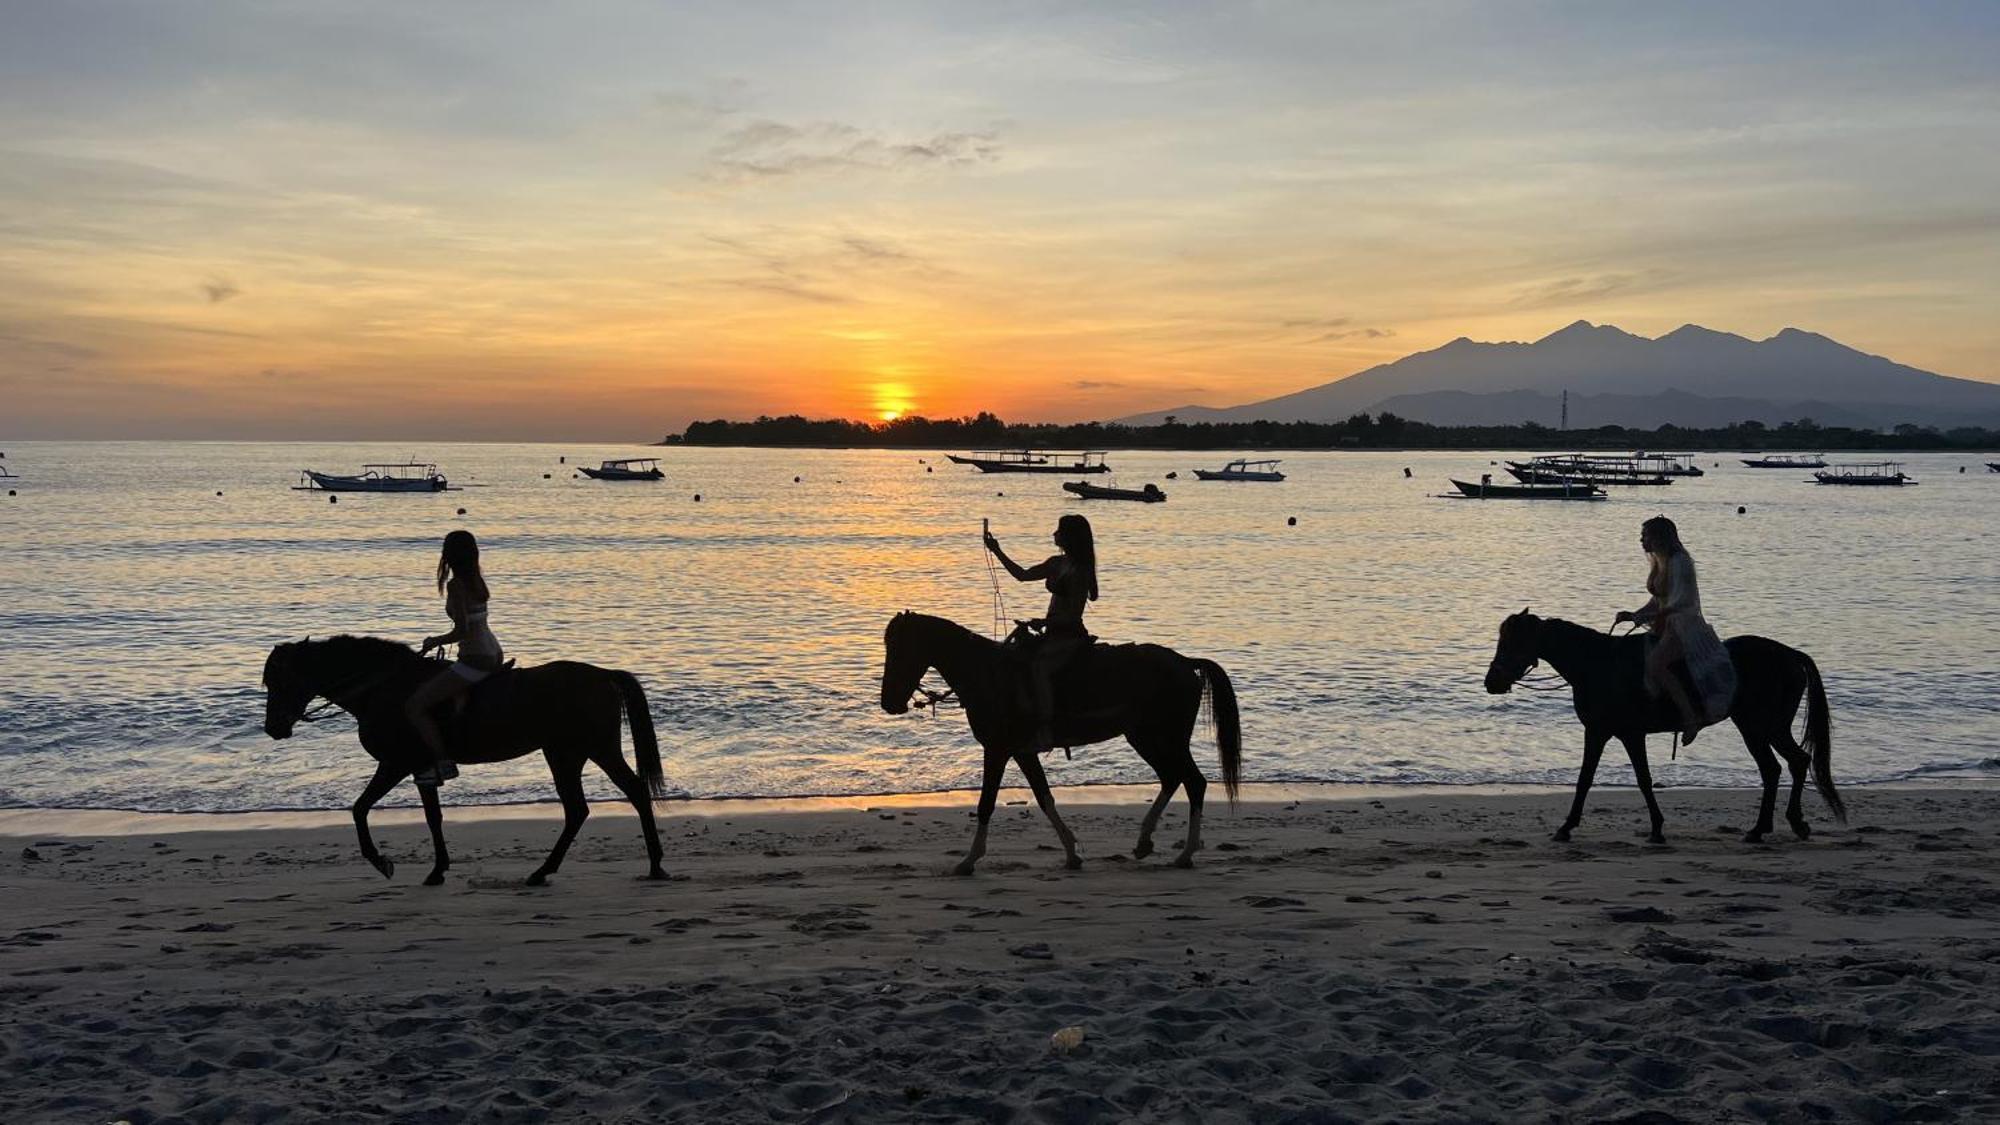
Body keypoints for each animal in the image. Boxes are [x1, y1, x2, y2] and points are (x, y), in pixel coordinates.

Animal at [262, 636, 672, 880]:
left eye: (277, 682)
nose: (272, 728)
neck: (383, 688)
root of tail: (603, 675)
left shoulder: (397, 763)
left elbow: (361, 809)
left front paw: (383, 862)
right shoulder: (419, 768)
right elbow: (430, 816)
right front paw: (437, 869)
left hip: (590, 749)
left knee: (626, 794)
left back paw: (651, 864)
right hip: (567, 753)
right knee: (582, 808)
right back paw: (548, 869)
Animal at [876, 608, 1232, 872]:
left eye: (899, 649)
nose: (888, 702)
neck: (988, 674)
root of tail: (1185, 663)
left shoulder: (997, 750)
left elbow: (986, 803)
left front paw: (969, 860)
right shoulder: (1021, 752)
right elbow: (1044, 797)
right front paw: (1072, 854)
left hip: (1167, 738)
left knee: (1193, 782)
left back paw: (1185, 853)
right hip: (1144, 737)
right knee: (1172, 778)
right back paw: (1145, 842)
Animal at [1488, 612, 1840, 840]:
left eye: (1510, 642)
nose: (1491, 682)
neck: (1598, 665)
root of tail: (1790, 655)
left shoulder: (1622, 734)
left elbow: (1637, 780)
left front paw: (1655, 828)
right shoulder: (1603, 733)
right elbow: (1589, 779)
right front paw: (1569, 826)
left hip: (1756, 726)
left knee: (1777, 767)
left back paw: (1763, 829)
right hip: (1770, 727)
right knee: (1791, 764)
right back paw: (1785, 824)